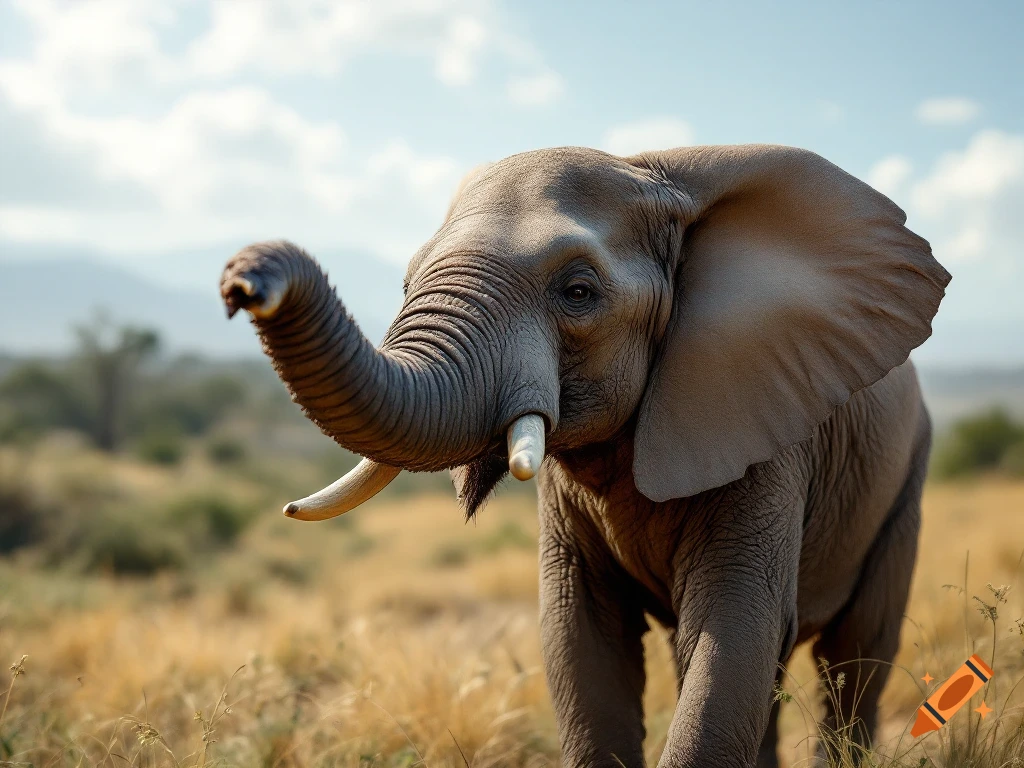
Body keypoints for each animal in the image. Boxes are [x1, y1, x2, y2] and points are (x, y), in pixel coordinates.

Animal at [220, 144, 950, 767]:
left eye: (577, 293)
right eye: (403, 284)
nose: (240, 281)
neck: (655, 171)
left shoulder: (764, 425)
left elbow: (733, 630)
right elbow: (582, 642)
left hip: (907, 474)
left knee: (854, 659)